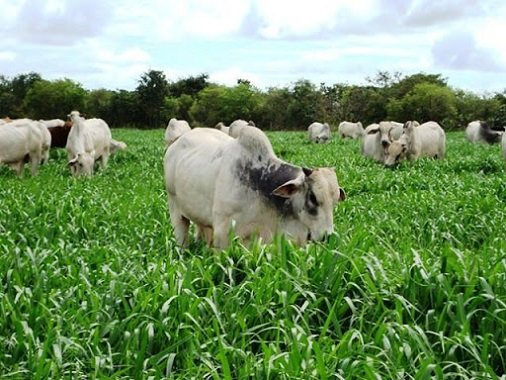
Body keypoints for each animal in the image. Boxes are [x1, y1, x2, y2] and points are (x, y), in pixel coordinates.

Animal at [164, 126, 346, 248]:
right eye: (313, 197)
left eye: (335, 201)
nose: (327, 237)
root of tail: (176, 142)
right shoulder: (223, 234)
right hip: (175, 210)